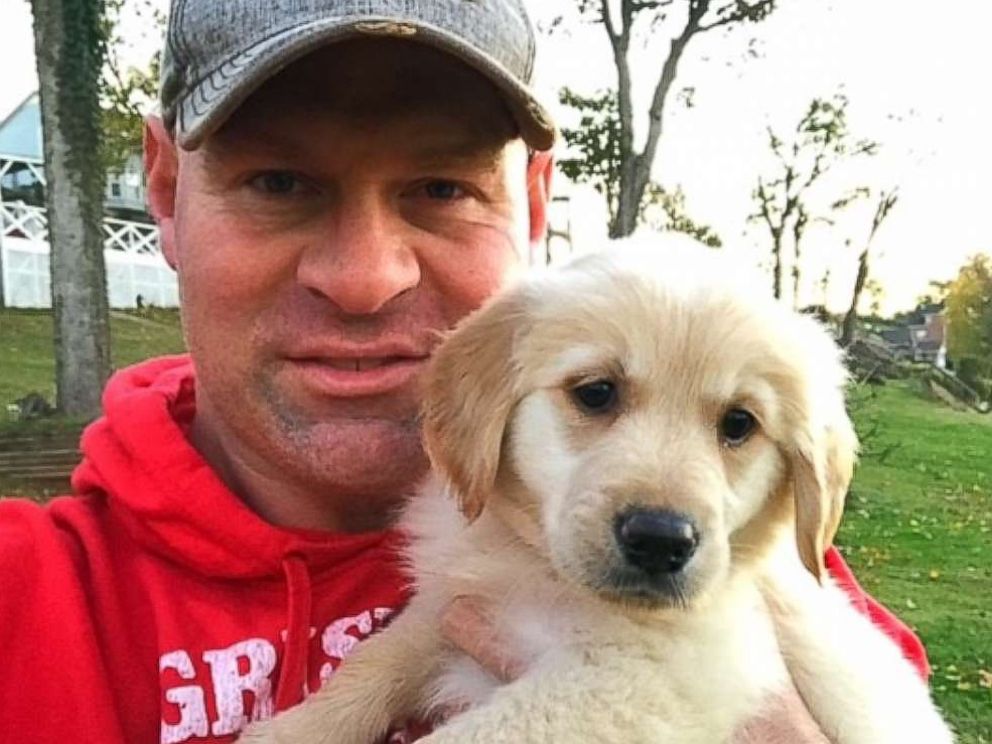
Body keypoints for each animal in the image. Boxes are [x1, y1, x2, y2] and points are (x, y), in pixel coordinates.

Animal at [242, 243, 952, 744]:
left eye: (739, 424)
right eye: (596, 392)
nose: (661, 541)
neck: (541, 573)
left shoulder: (644, 681)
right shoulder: (452, 609)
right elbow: (372, 663)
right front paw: (280, 733)